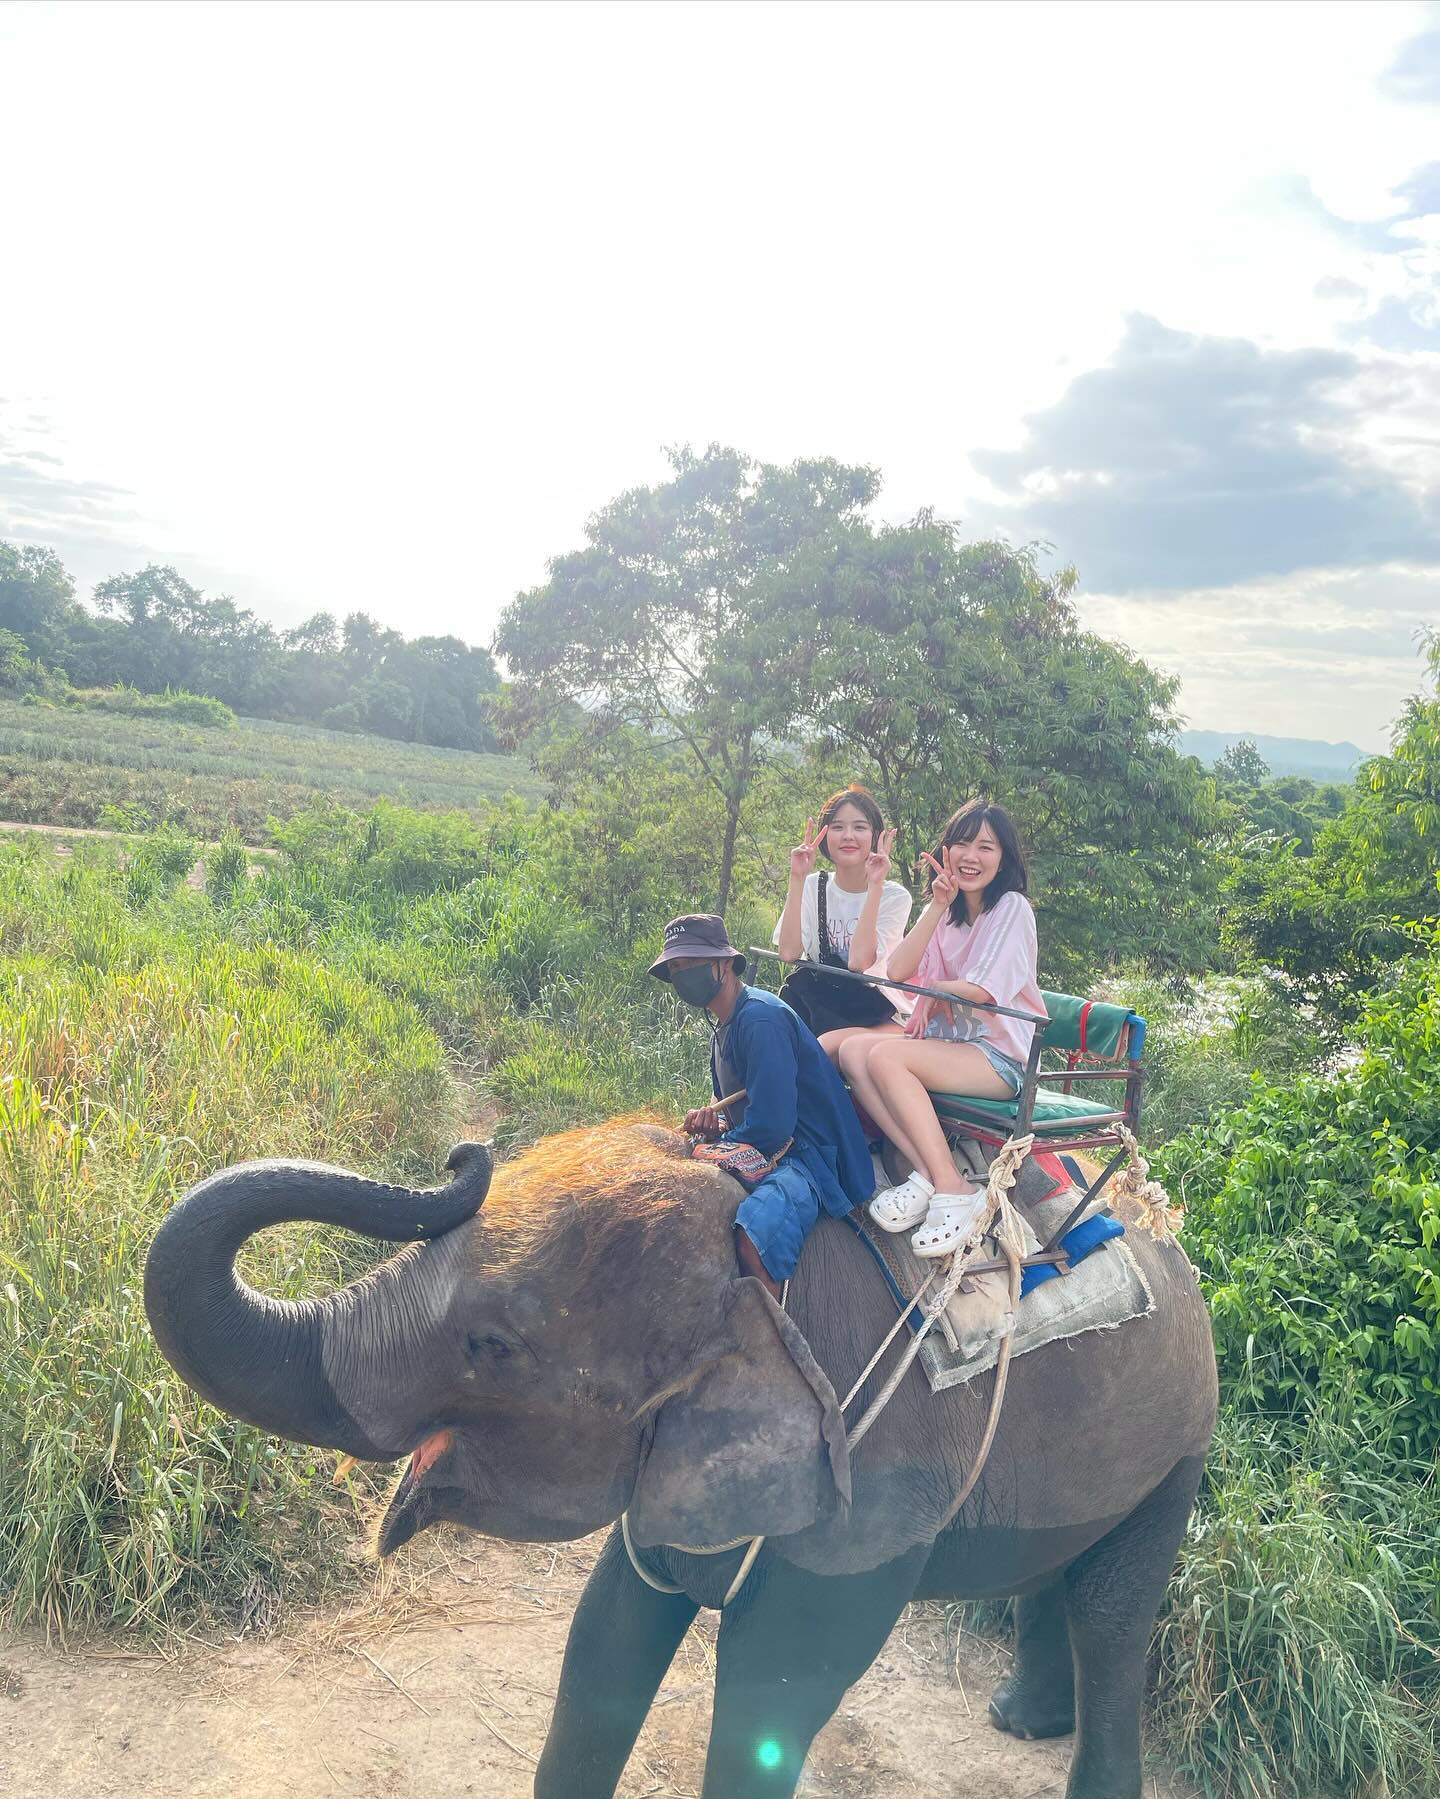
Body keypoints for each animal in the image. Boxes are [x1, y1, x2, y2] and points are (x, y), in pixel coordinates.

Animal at [149, 1115, 1216, 1791]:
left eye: (493, 1345)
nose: (466, 1152)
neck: (763, 1272)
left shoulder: (878, 1489)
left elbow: (775, 1686)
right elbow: (608, 1633)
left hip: (1184, 1444)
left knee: (1113, 1611)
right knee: (1057, 1576)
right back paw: (1019, 1721)